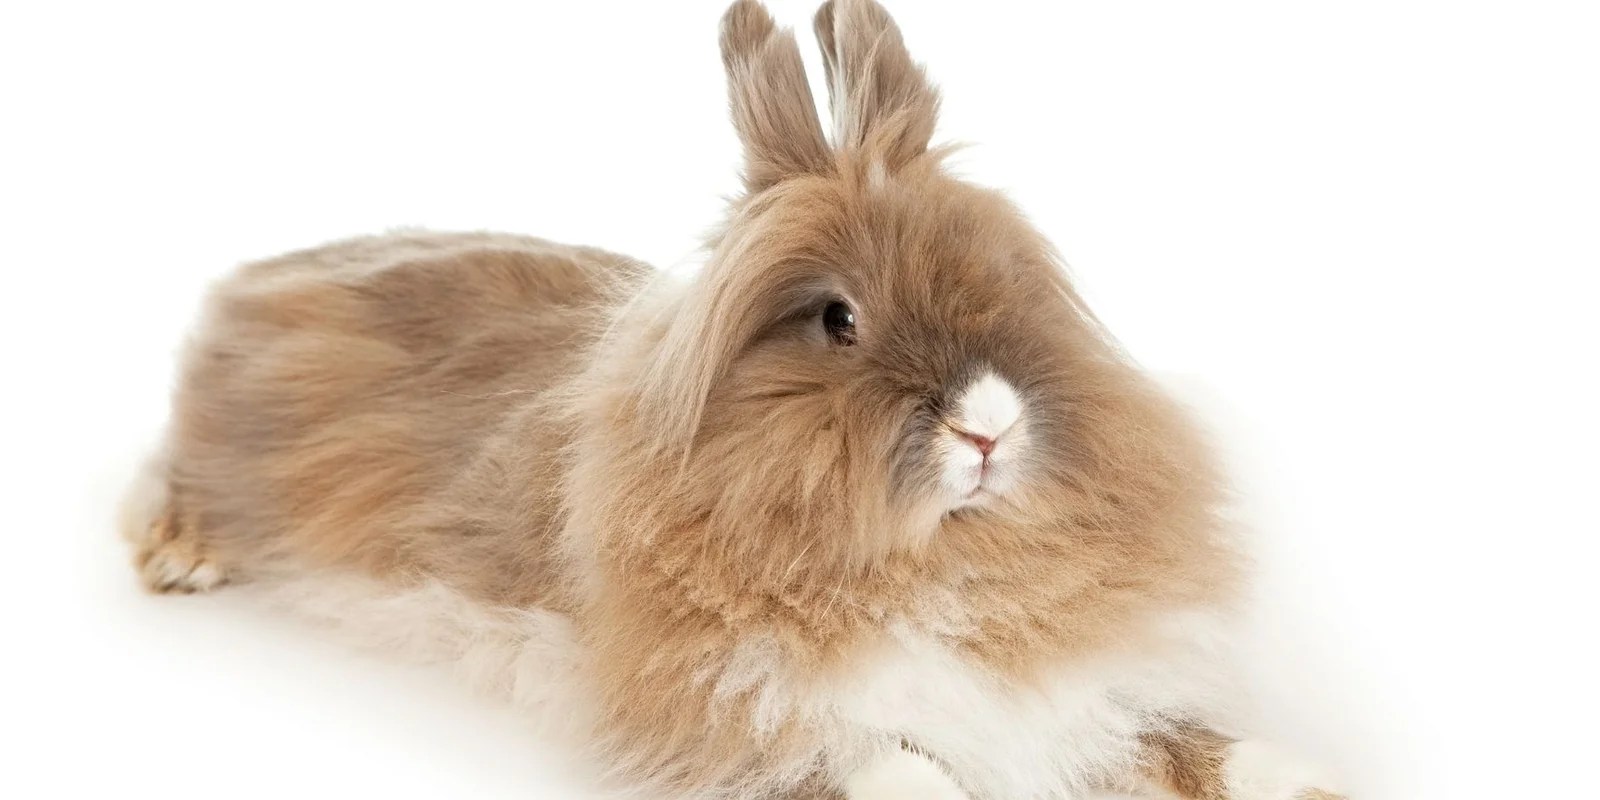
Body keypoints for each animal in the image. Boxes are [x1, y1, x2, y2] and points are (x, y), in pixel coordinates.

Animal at [121, 1, 1348, 798]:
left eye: (1002, 280)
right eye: (838, 319)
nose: (991, 423)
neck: (928, 565)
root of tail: (263, 275)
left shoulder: (1084, 691)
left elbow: (1198, 737)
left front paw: (1317, 778)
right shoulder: (737, 706)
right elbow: (891, 766)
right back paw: (181, 557)